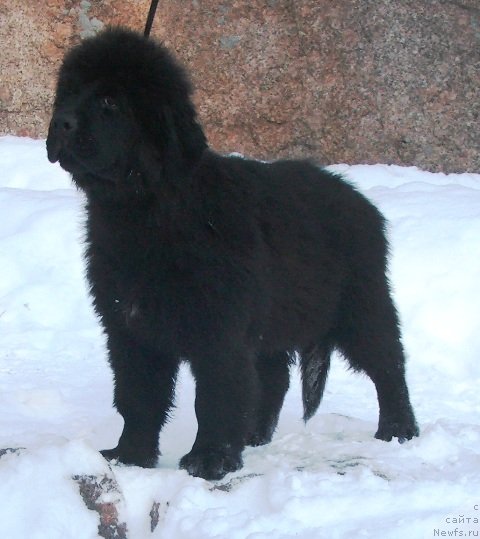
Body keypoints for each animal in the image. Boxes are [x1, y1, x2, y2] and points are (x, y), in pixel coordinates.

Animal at [47, 27, 418, 478]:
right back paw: (254, 435)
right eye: (69, 92)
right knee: (272, 377)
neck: (151, 212)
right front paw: (131, 455)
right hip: (277, 316)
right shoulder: (129, 328)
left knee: (388, 363)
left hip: (359, 305)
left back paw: (399, 430)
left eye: (109, 102)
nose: (60, 122)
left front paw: (210, 460)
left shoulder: (219, 329)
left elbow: (216, 395)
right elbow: (138, 395)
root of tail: (361, 200)